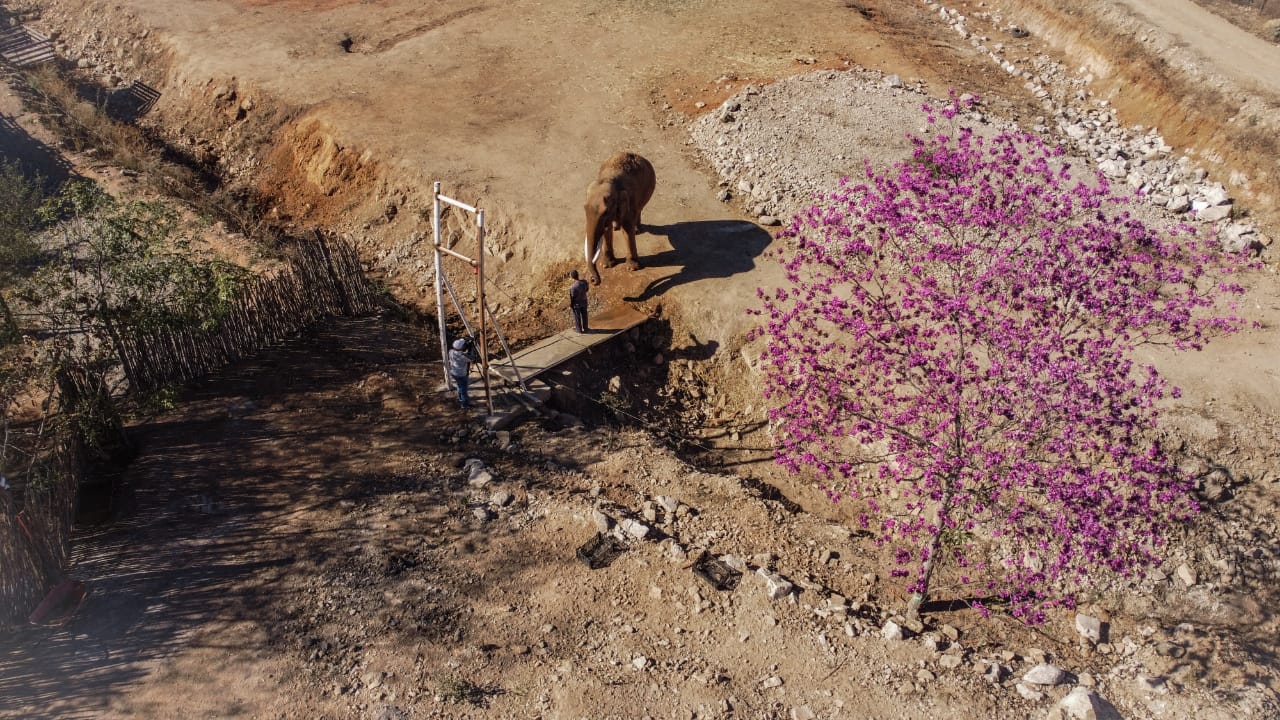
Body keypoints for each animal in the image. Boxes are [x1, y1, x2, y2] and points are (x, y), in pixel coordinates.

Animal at [583, 151, 656, 285]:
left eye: (605, 212)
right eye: (584, 208)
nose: (593, 280)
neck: (609, 180)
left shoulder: (628, 202)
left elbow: (627, 229)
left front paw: (632, 268)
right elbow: (607, 230)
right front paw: (606, 265)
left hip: (647, 189)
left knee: (639, 209)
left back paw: (636, 230)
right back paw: (617, 227)